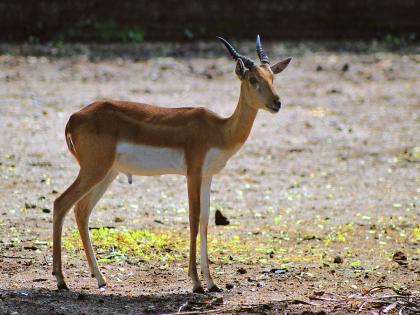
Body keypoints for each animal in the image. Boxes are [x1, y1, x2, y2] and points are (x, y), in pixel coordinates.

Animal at [53, 35, 292, 296]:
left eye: (273, 77)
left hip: (107, 173)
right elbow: (193, 219)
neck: (219, 130)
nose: (277, 103)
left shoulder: (207, 176)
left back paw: (100, 278)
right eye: (253, 79)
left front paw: (212, 283)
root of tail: (73, 118)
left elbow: (205, 221)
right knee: (60, 203)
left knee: (81, 210)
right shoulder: (193, 173)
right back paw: (61, 280)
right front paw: (196, 282)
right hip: (94, 169)